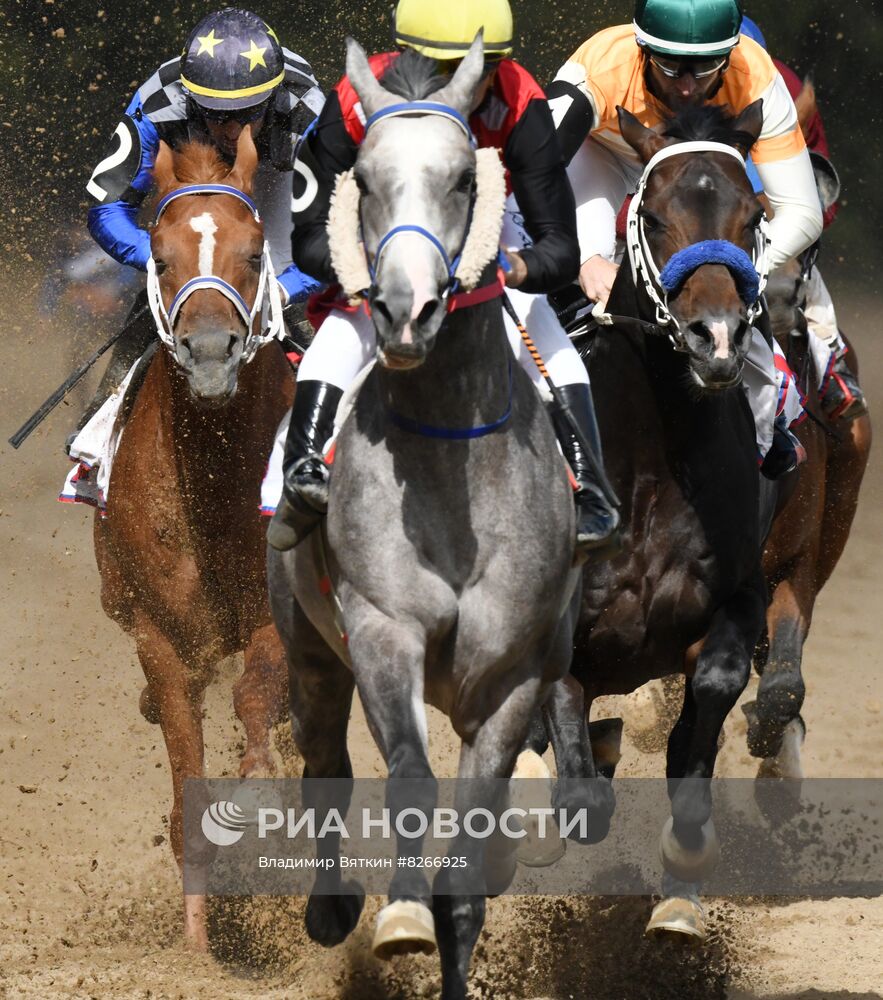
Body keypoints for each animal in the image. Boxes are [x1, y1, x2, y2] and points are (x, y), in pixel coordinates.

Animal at [268, 37, 588, 1000]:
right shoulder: (381, 628)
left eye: (463, 180)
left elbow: (471, 860)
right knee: (325, 765)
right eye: (365, 181)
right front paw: (399, 916)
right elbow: (406, 779)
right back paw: (333, 905)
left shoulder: (514, 672)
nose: (405, 310)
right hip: (305, 645)